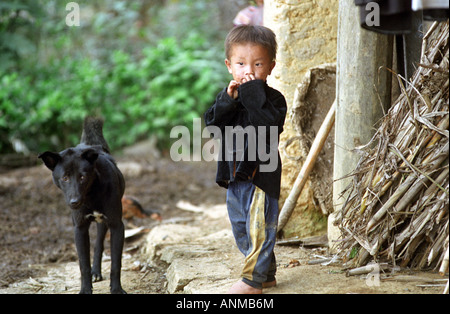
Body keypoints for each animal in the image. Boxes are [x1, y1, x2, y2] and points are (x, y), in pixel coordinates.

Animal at [39, 117, 125, 294]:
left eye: (82, 177)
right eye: (64, 178)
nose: (74, 202)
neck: (91, 195)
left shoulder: (117, 225)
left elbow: (115, 263)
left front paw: (117, 289)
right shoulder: (79, 228)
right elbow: (83, 265)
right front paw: (86, 289)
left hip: (103, 223)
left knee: (99, 245)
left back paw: (97, 271)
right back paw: (95, 272)